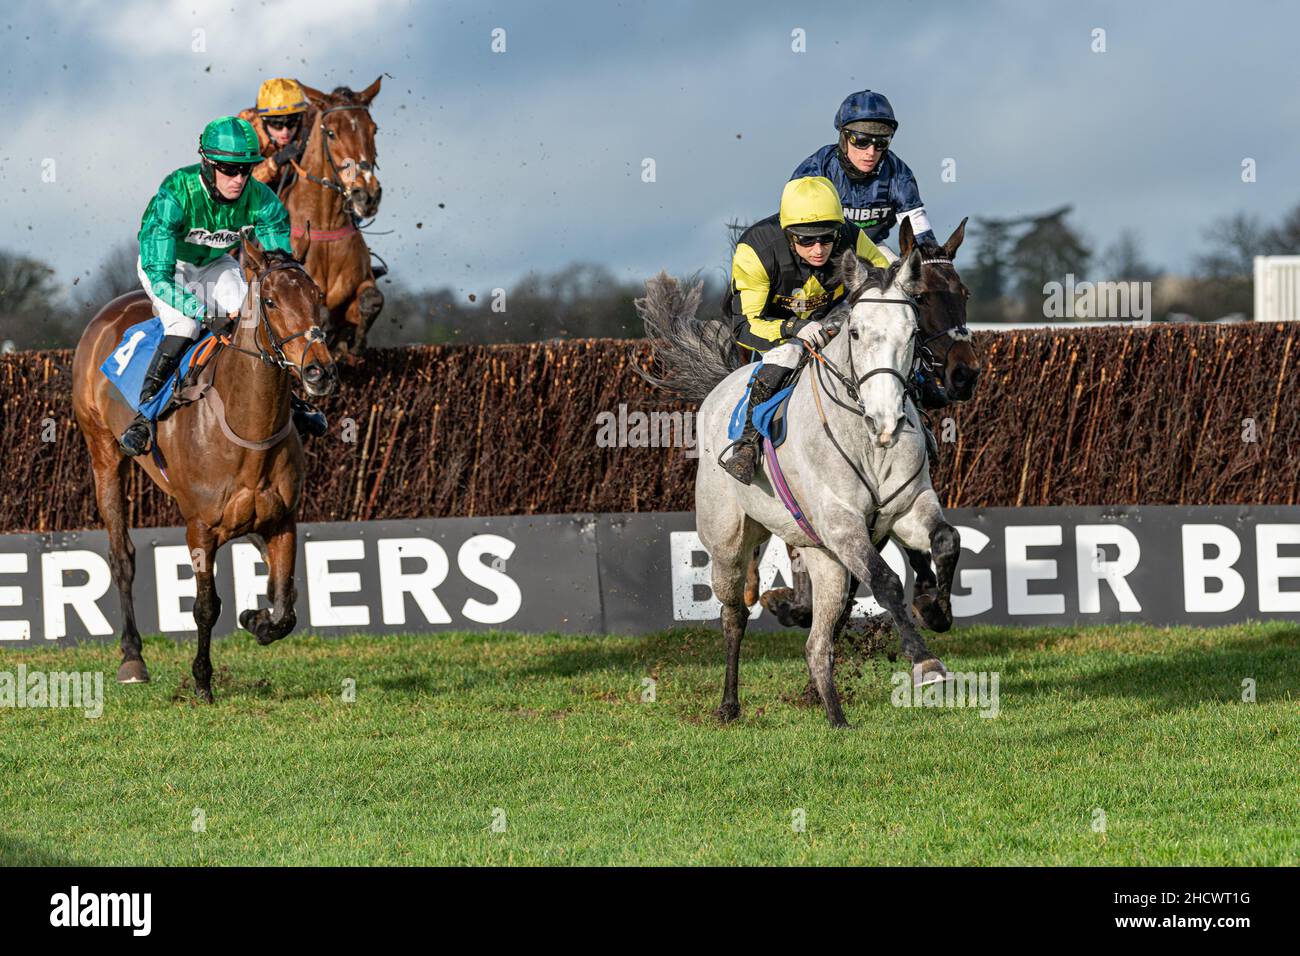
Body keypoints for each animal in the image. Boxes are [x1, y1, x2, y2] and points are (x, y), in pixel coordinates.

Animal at [70, 234, 335, 702]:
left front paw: (257, 619)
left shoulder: (282, 519)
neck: (245, 426)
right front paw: (202, 681)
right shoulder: (200, 528)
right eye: (269, 301)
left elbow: (285, 602)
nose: (319, 371)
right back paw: (132, 657)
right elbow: (207, 607)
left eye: (317, 296)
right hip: (103, 453)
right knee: (121, 557)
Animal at [282, 77, 382, 356]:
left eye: (374, 129)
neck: (324, 224)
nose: (366, 195)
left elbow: (372, 300)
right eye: (331, 133)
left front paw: (353, 344)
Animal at [634, 251, 961, 728]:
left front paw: (938, 609)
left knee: (817, 642)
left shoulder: (908, 508)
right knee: (734, 614)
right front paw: (926, 663)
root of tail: (722, 386)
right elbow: (885, 581)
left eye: (912, 333)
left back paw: (836, 716)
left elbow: (946, 540)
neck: (868, 441)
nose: (886, 420)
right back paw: (729, 705)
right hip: (728, 544)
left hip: (825, 559)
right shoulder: (842, 523)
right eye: (856, 332)